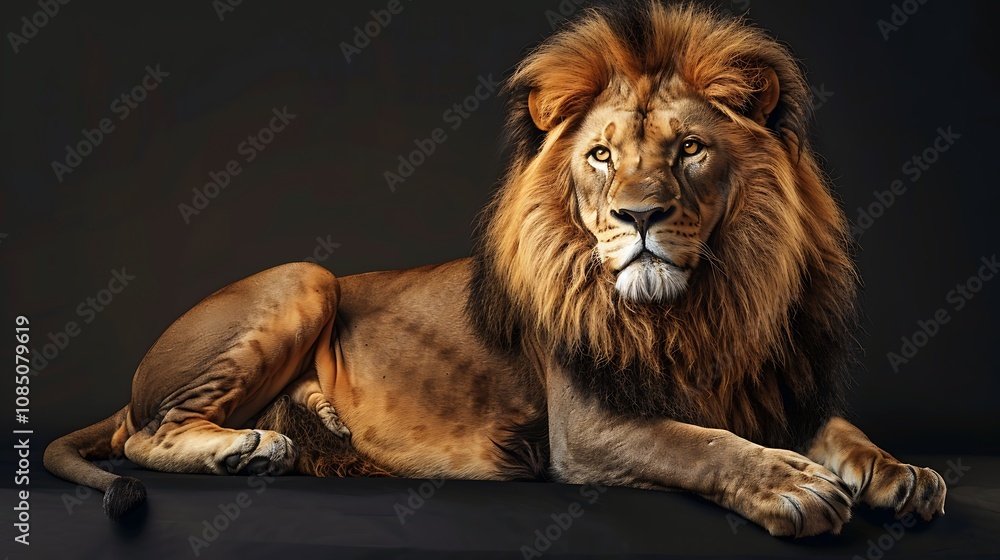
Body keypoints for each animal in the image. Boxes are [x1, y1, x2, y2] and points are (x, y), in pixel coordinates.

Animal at [44, 1, 946, 537]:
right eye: (601, 156)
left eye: (690, 149)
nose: (640, 217)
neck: (696, 308)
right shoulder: (589, 429)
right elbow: (701, 444)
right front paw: (791, 485)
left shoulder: (776, 386)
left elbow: (841, 430)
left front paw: (901, 474)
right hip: (303, 276)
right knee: (143, 437)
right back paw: (249, 448)